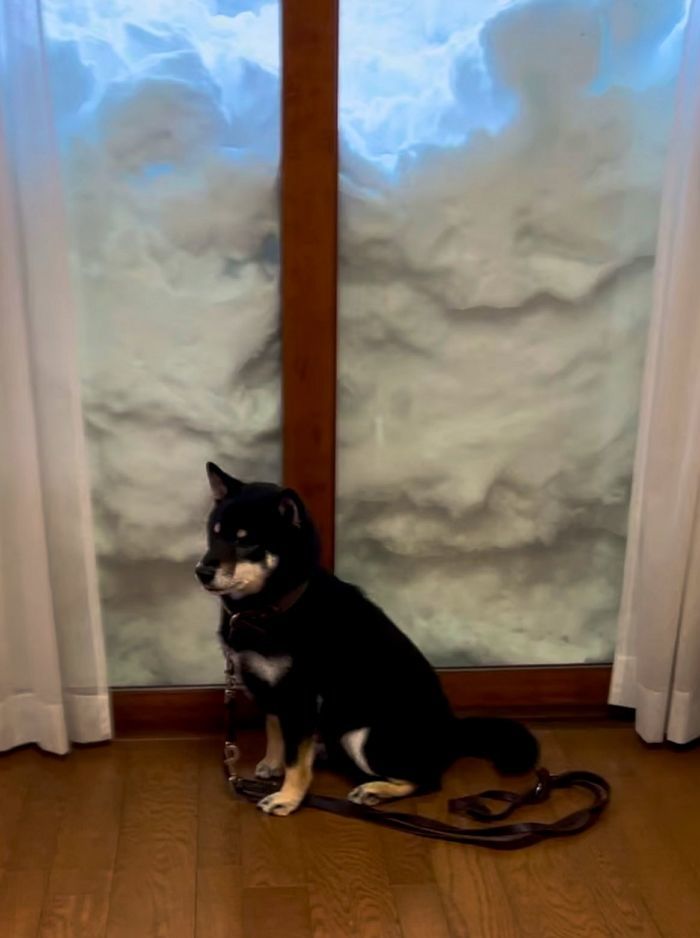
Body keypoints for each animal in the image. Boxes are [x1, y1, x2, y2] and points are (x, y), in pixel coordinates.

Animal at [196, 462, 538, 816]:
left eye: (247, 542)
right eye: (214, 533)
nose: (201, 571)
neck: (274, 607)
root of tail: (451, 733)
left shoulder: (300, 697)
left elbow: (296, 761)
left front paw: (288, 798)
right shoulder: (272, 690)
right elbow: (276, 732)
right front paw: (272, 765)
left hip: (361, 736)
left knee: (426, 779)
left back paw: (374, 790)